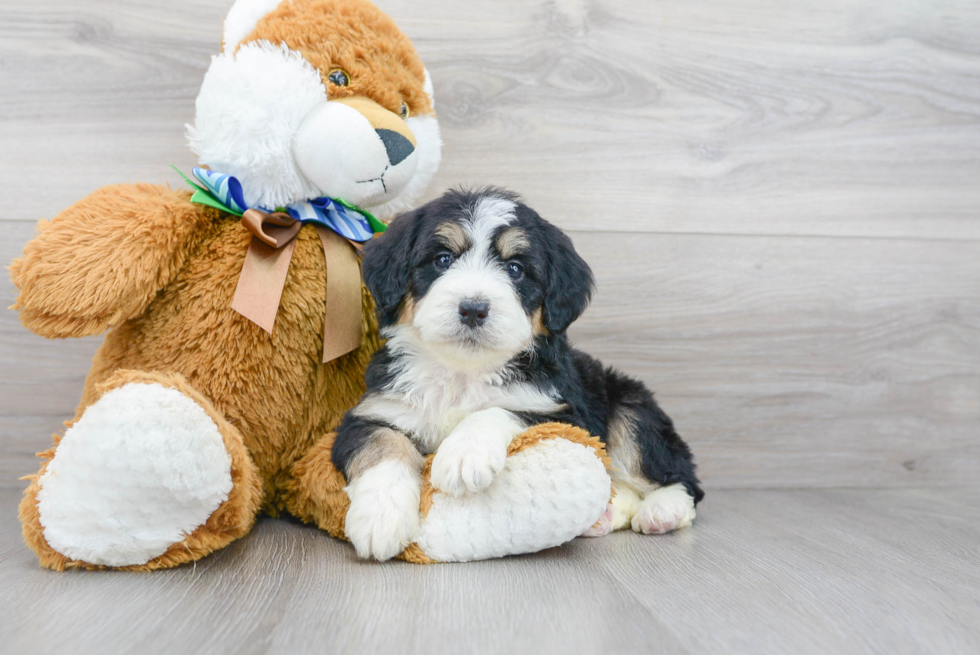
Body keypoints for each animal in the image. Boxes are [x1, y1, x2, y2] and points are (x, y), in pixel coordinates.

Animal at [336, 187, 704, 560]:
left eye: (515, 269)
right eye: (442, 259)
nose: (473, 308)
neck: (463, 372)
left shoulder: (565, 413)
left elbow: (499, 410)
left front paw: (464, 454)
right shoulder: (373, 412)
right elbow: (384, 446)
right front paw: (381, 518)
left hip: (632, 409)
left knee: (679, 477)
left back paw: (663, 510)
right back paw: (604, 517)